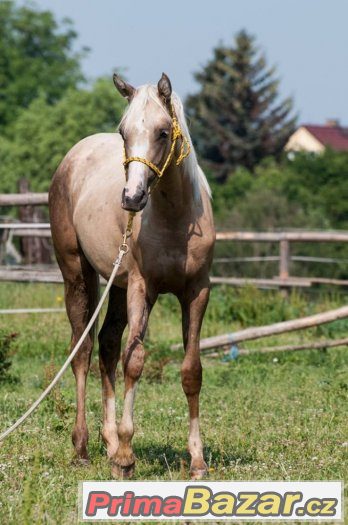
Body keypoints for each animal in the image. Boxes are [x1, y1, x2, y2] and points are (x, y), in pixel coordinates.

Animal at [48, 73, 215, 478]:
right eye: (123, 132)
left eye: (162, 132)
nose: (132, 198)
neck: (175, 219)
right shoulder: (143, 289)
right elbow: (134, 361)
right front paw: (126, 456)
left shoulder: (197, 292)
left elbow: (191, 370)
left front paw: (197, 461)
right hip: (78, 275)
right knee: (83, 350)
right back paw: (84, 447)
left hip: (117, 287)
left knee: (107, 345)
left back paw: (108, 443)